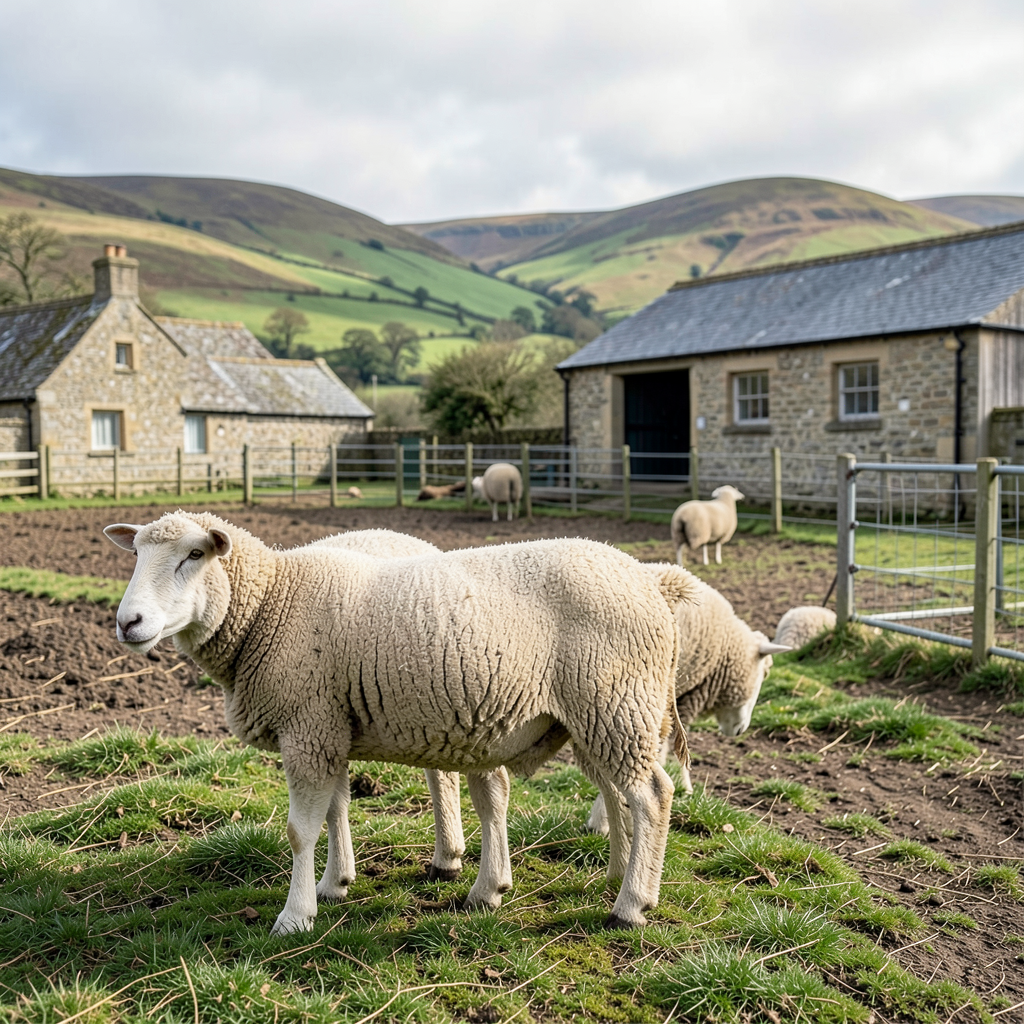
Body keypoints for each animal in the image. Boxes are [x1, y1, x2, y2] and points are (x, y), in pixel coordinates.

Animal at [104, 511, 696, 934]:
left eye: (194, 554)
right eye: (135, 555)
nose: (128, 622)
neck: (271, 607)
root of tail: (651, 584)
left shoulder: (307, 726)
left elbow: (300, 831)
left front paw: (294, 916)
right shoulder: (329, 727)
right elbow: (336, 809)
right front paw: (334, 884)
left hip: (615, 700)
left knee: (652, 795)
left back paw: (631, 905)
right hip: (594, 714)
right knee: (614, 792)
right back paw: (605, 876)